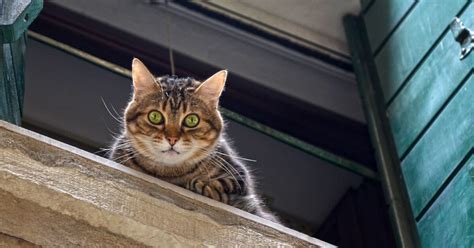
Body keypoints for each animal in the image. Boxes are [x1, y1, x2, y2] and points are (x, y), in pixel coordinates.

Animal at [108, 58, 278, 223]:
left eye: (191, 120)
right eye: (155, 116)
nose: (172, 138)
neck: (169, 175)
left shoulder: (239, 175)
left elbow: (225, 184)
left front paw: (205, 187)